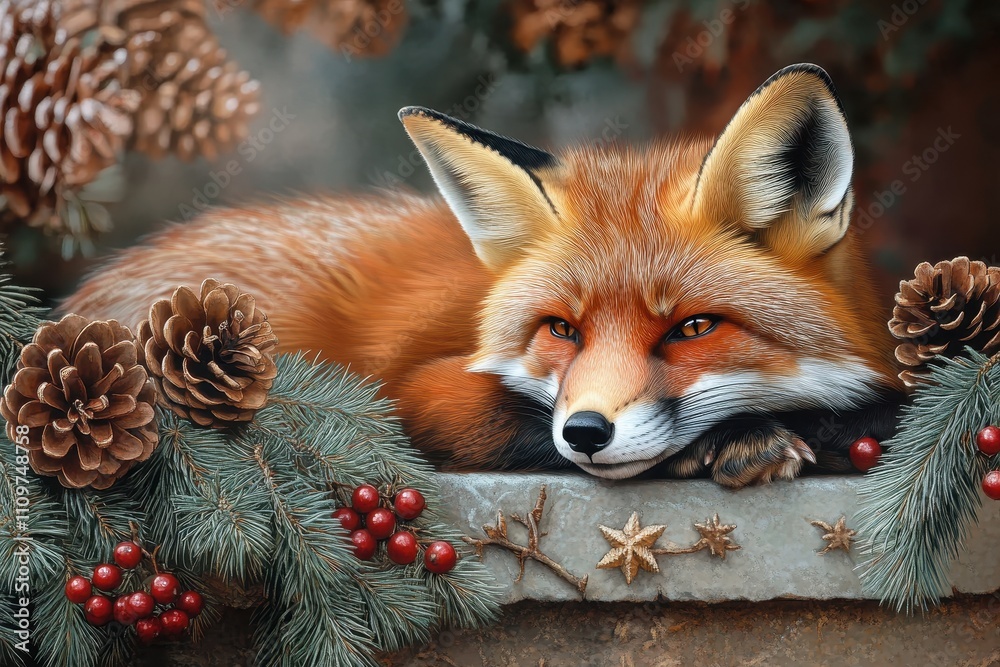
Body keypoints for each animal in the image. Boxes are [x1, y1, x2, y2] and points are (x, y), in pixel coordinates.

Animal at [63, 63, 903, 488]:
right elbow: (510, 416)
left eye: (693, 327)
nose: (586, 431)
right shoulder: (414, 390)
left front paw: (821, 425)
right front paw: (745, 437)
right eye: (561, 329)